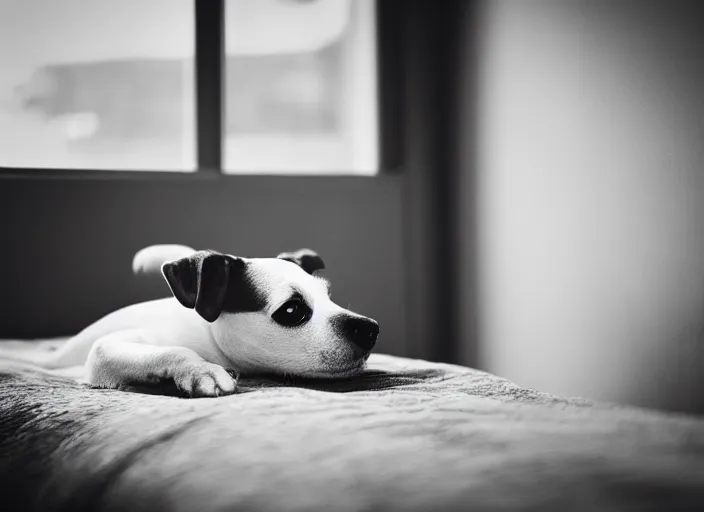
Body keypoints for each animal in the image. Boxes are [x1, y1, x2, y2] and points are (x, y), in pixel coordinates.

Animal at [1, 246, 380, 398]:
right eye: (292, 311)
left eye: (329, 297)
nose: (371, 329)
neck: (208, 336)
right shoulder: (106, 351)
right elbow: (173, 351)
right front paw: (200, 370)